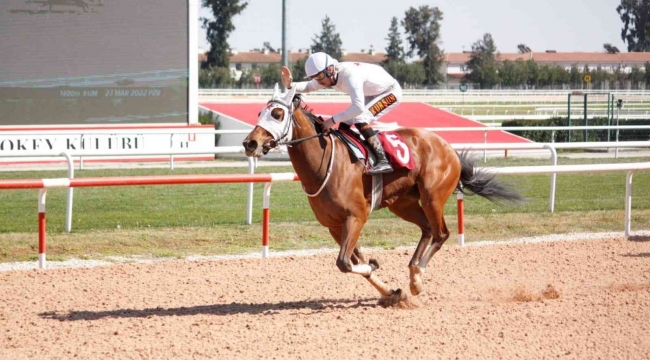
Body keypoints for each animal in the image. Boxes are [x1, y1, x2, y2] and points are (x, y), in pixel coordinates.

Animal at [243, 86, 520, 306]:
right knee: (427, 229)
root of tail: (448, 147)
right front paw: (392, 291)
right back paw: (412, 274)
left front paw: (378, 269)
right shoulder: (334, 225)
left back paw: (418, 279)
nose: (250, 143)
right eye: (258, 114)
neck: (325, 162)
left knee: (441, 233)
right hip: (404, 204)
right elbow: (355, 261)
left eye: (277, 114)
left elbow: (345, 263)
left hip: (432, 197)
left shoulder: (356, 217)